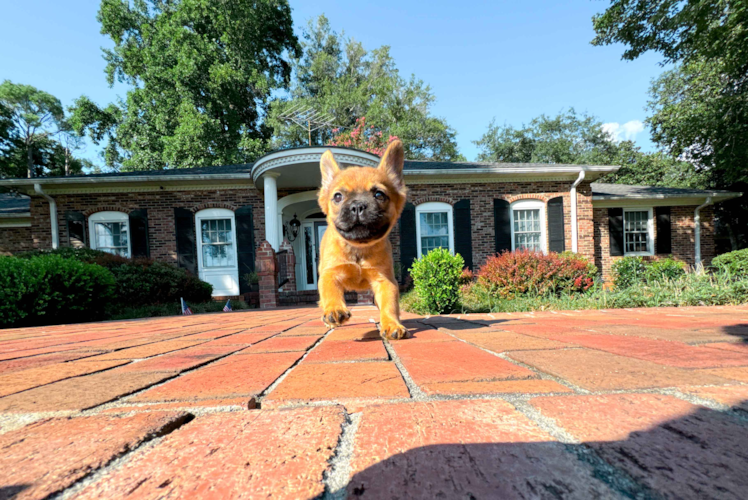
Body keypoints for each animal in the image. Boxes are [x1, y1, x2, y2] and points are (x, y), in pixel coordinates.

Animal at [316, 139, 410, 338]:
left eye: (379, 194)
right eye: (338, 196)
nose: (358, 205)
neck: (358, 248)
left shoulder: (385, 281)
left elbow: (390, 305)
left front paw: (392, 324)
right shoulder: (330, 274)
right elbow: (330, 291)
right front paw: (335, 309)